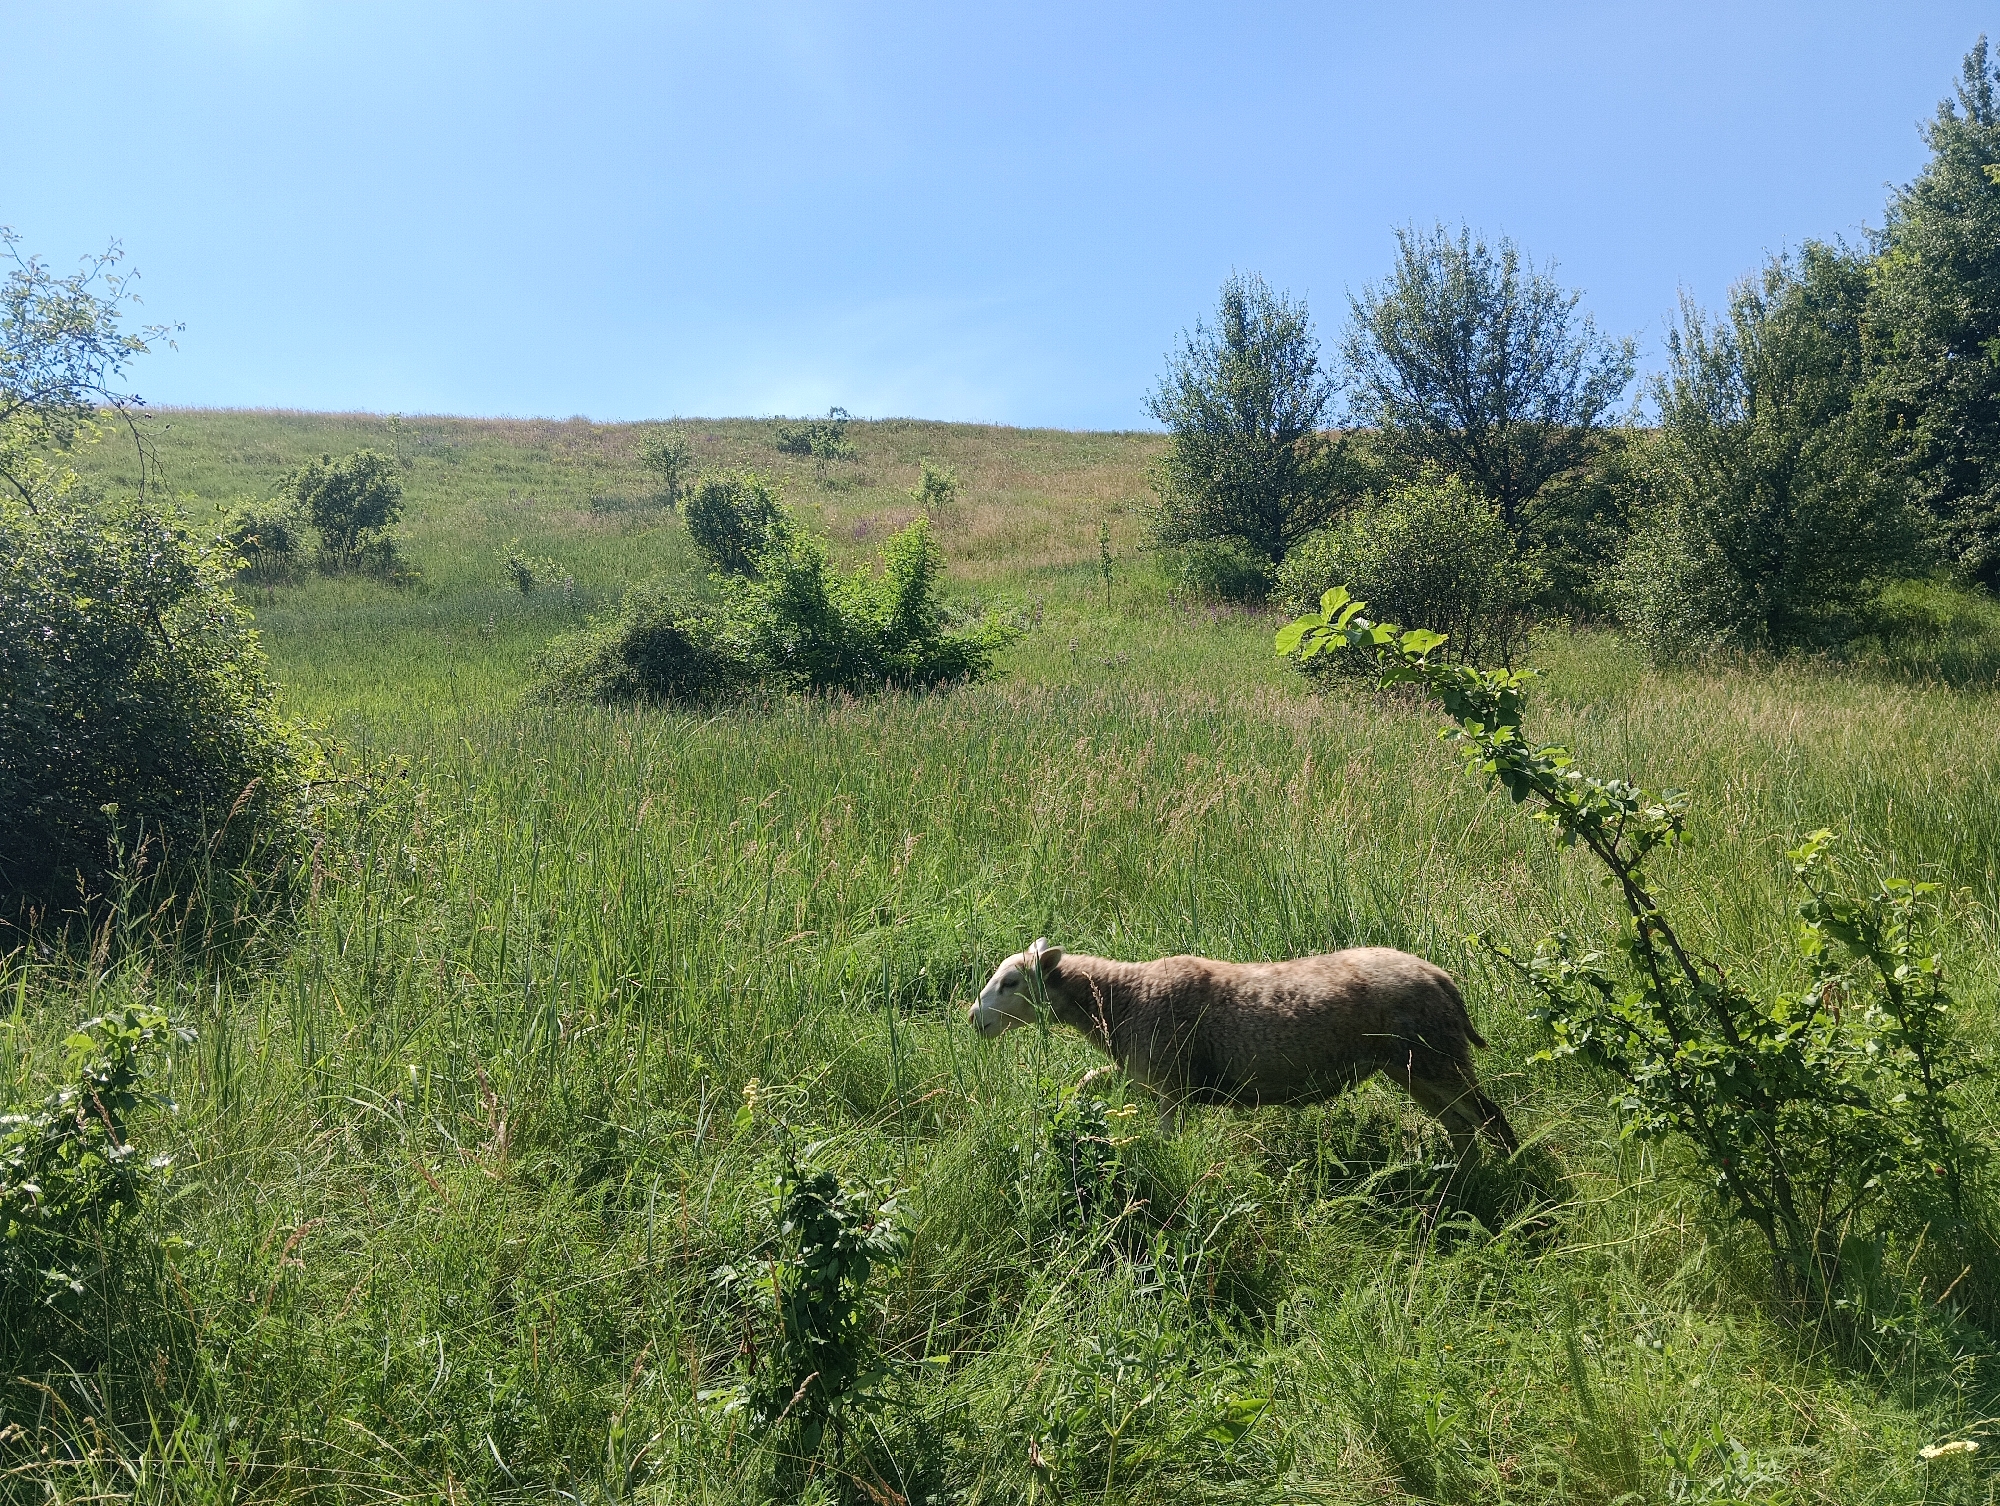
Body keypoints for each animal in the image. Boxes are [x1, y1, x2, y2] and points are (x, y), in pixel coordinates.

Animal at [968, 938, 1518, 1158]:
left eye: (1012, 982)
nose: (974, 1019)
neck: (1124, 997)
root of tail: (1442, 979)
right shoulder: (1147, 1075)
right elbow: (1087, 1082)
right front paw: (1073, 1114)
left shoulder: (1172, 1084)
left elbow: (1168, 1139)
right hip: (1411, 1065)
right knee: (1460, 1124)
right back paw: (1464, 1179)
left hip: (1434, 1056)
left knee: (1488, 1115)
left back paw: (1513, 1169)